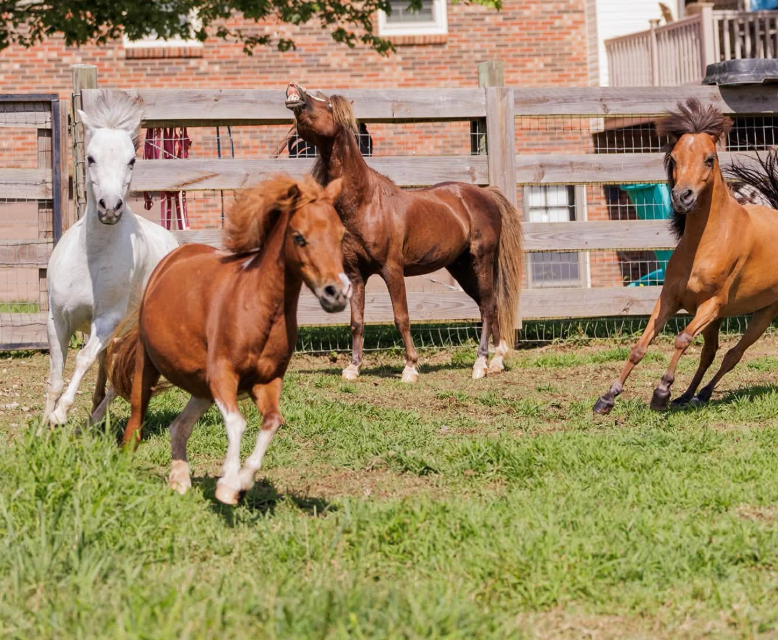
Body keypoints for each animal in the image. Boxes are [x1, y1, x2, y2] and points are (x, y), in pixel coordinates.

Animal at [43, 90, 178, 426]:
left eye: (132, 160)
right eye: (91, 158)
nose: (110, 207)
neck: (90, 261)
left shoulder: (107, 320)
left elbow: (83, 359)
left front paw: (60, 415)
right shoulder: (57, 319)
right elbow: (55, 378)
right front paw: (42, 429)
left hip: (137, 332)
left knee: (124, 377)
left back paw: (94, 419)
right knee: (108, 366)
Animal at [107, 175, 351, 505]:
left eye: (341, 235)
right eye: (299, 237)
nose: (336, 293)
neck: (257, 307)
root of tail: (171, 260)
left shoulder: (267, 381)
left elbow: (273, 421)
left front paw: (243, 482)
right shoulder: (224, 374)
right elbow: (237, 423)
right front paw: (227, 485)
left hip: (201, 385)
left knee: (179, 427)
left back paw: (180, 480)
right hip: (149, 368)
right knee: (135, 426)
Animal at [284, 82, 524, 383]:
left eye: (326, 103)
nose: (293, 88)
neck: (366, 203)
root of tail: (486, 193)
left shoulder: (392, 270)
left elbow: (402, 317)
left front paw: (410, 367)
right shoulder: (356, 274)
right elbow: (356, 321)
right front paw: (353, 367)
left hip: (481, 260)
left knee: (488, 306)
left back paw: (480, 364)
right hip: (461, 268)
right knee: (488, 305)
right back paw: (496, 361)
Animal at [593, 97, 778, 414]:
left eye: (709, 158)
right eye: (674, 158)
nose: (683, 197)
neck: (704, 246)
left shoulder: (711, 306)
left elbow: (681, 340)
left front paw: (661, 393)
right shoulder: (669, 299)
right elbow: (640, 347)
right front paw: (607, 397)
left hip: (764, 313)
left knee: (733, 354)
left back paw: (701, 393)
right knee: (711, 353)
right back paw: (689, 394)